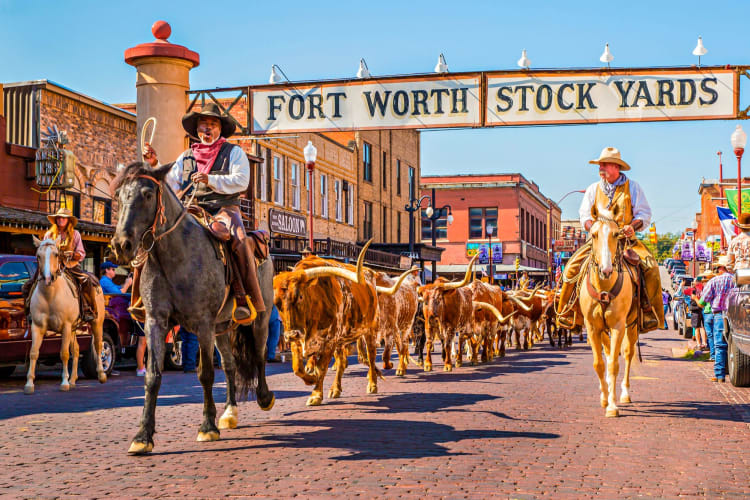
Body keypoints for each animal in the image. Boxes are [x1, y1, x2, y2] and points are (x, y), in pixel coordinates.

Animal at [25, 238, 106, 394]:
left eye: (56, 254)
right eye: (38, 256)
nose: (47, 278)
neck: (50, 296)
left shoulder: (66, 326)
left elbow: (64, 353)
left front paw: (64, 383)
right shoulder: (37, 326)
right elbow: (33, 352)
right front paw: (29, 384)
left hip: (97, 322)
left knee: (98, 345)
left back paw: (101, 375)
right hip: (74, 329)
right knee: (77, 350)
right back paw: (73, 380)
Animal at [111, 162, 276, 456]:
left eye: (147, 194)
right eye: (119, 195)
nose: (122, 245)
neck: (174, 256)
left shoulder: (202, 324)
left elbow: (206, 373)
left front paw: (207, 427)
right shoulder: (156, 322)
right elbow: (152, 376)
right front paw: (143, 436)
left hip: (260, 318)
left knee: (259, 355)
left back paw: (264, 397)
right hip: (223, 328)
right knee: (231, 365)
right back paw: (229, 412)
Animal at [580, 213, 640, 416]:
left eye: (616, 234)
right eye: (593, 234)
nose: (606, 270)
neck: (604, 288)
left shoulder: (618, 326)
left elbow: (614, 364)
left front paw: (613, 406)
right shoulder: (592, 327)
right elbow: (599, 364)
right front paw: (604, 398)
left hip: (632, 325)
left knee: (628, 354)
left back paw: (625, 394)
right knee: (606, 353)